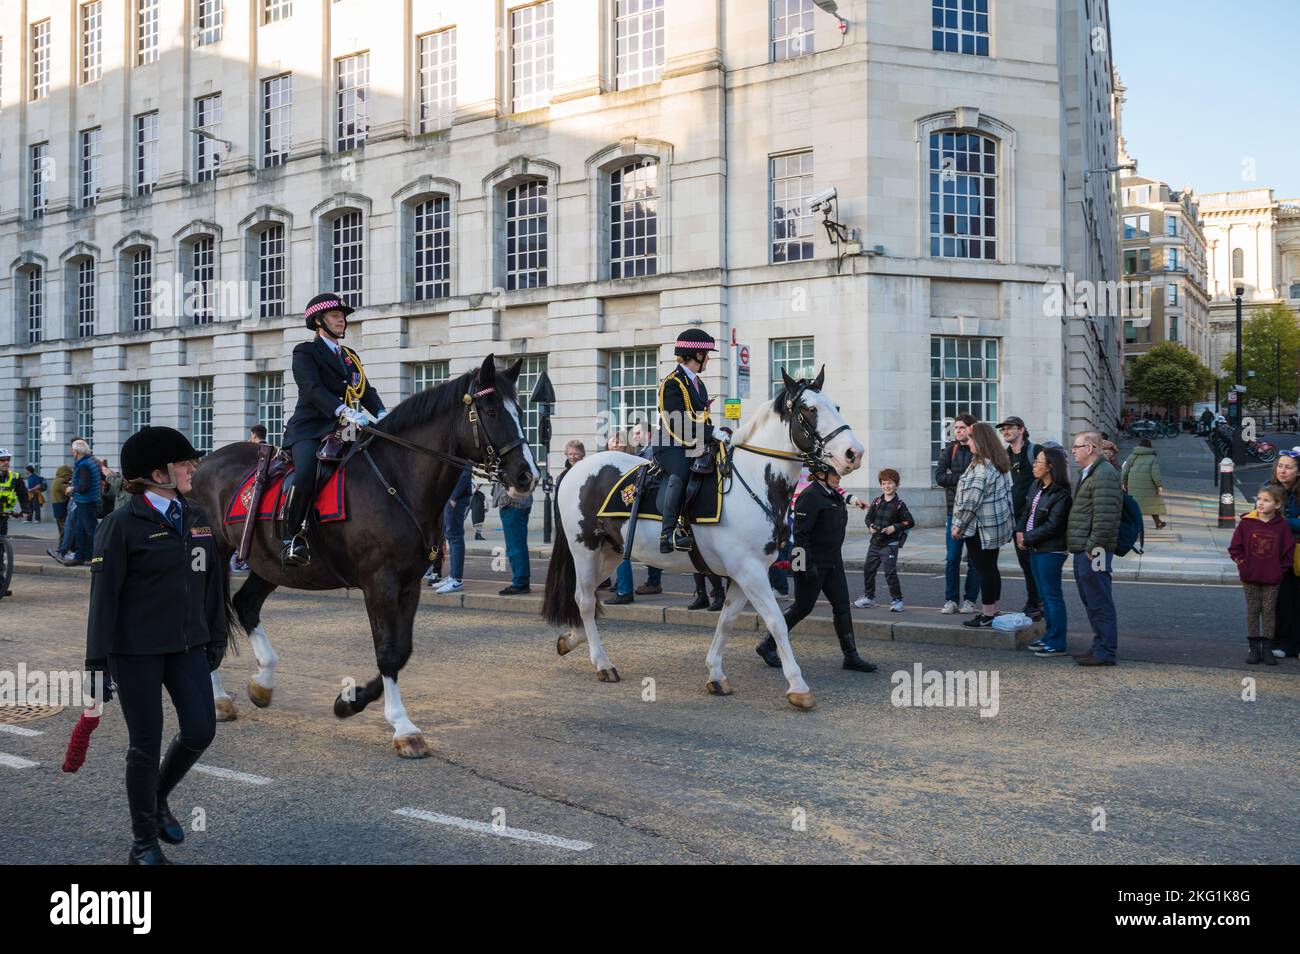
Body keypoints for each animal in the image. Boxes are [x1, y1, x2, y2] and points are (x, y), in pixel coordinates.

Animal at [185, 356, 535, 759]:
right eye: (492, 411)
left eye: (521, 410)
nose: (527, 476)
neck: (398, 481)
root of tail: (200, 465)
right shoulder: (378, 581)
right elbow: (387, 652)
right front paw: (402, 727)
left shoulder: (408, 583)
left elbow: (402, 650)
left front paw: (349, 702)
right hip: (212, 557)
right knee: (211, 620)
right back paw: (218, 699)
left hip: (268, 564)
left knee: (246, 605)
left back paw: (263, 683)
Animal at [540, 369, 863, 712]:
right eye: (810, 409)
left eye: (837, 406)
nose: (854, 453)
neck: (755, 481)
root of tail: (578, 467)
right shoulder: (750, 571)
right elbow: (776, 621)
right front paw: (798, 686)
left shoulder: (745, 573)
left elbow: (727, 619)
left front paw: (716, 674)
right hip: (584, 548)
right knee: (585, 600)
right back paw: (602, 663)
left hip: (612, 551)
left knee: (585, 596)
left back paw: (571, 639)